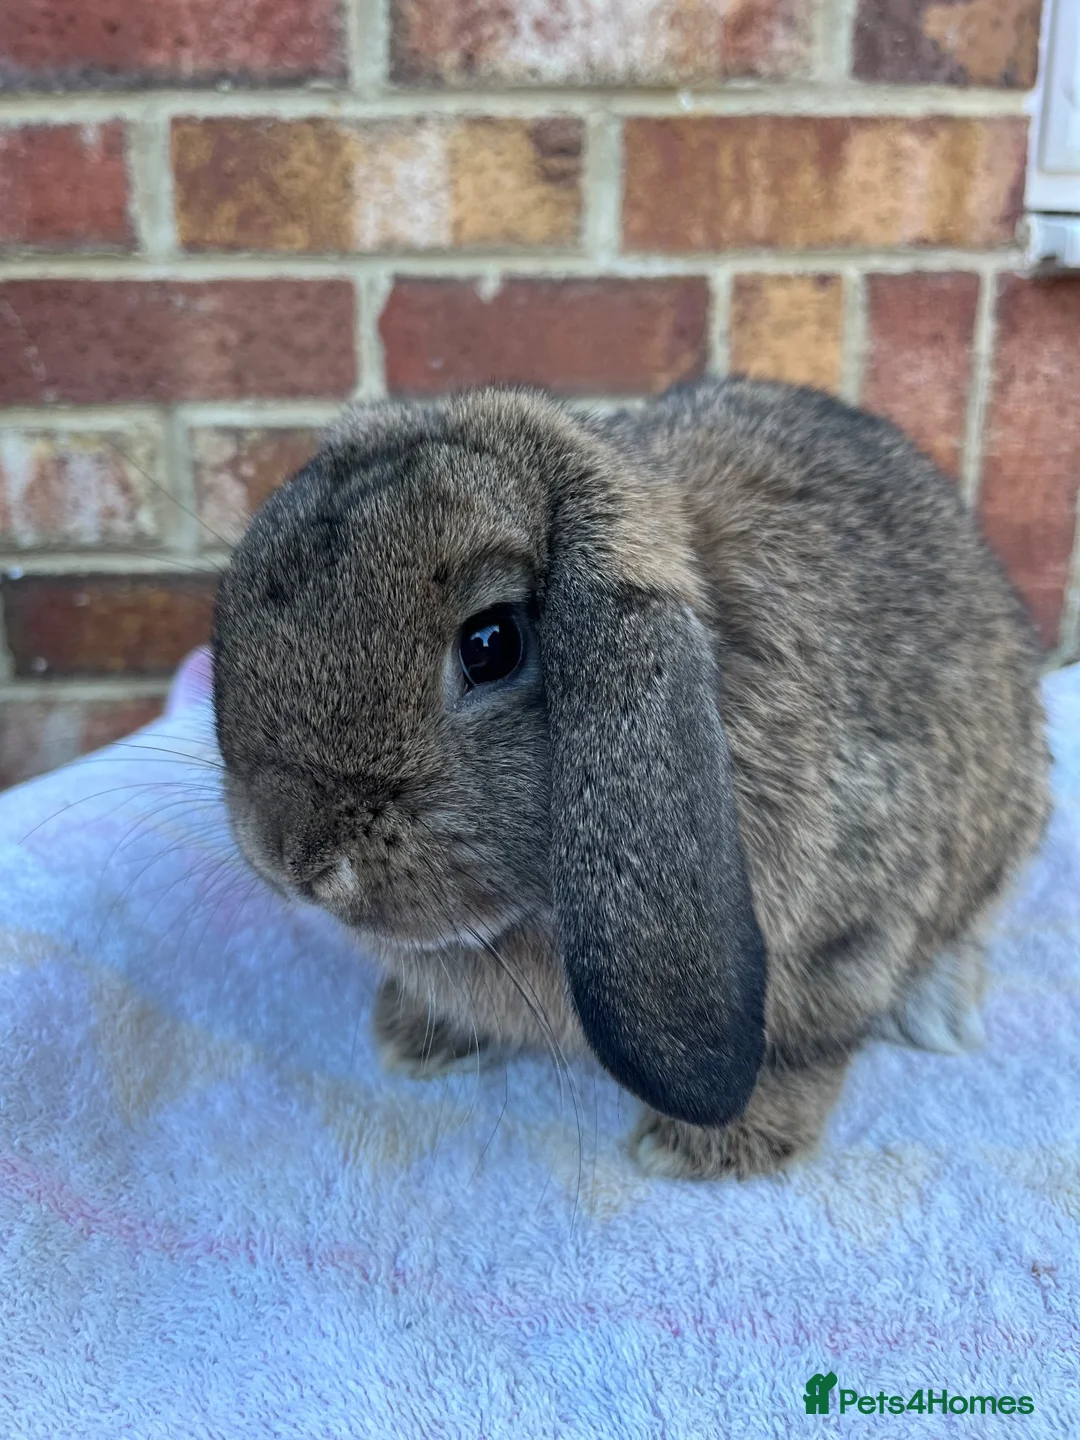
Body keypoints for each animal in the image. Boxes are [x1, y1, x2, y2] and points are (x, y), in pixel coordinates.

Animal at [211, 378, 1051, 1180]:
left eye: (490, 644)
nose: (288, 855)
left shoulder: (853, 935)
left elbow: (802, 1046)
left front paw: (708, 1149)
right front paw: (416, 1038)